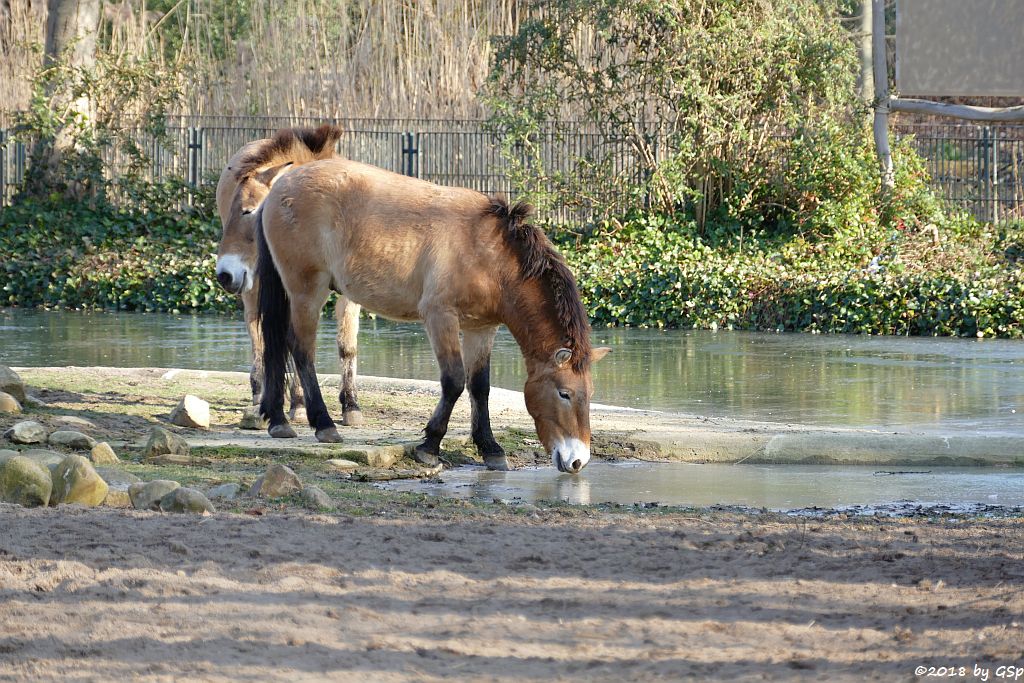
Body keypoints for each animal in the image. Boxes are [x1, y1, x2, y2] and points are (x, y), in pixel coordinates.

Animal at [211, 124, 364, 423]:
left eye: (249, 211)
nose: (224, 275)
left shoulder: (350, 294)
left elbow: (346, 345)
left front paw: (351, 405)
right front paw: (301, 404)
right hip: (254, 285)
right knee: (257, 332)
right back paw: (261, 392)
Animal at [252, 155, 610, 475]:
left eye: (589, 395)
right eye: (565, 393)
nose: (578, 461)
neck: (492, 257)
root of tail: (279, 186)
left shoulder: (482, 328)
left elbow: (480, 386)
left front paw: (490, 449)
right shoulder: (440, 317)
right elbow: (453, 380)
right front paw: (429, 446)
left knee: (277, 345)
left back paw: (277, 420)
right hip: (307, 291)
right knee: (301, 350)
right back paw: (323, 424)